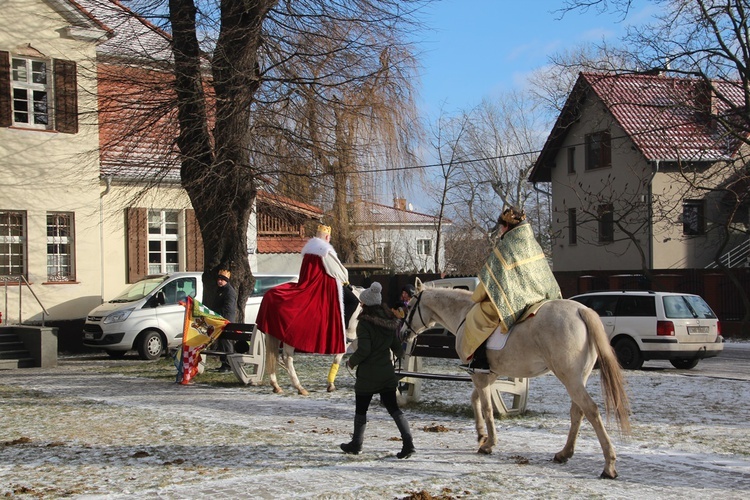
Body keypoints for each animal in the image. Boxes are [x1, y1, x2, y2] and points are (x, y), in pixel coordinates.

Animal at [402, 284, 632, 478]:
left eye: (410, 306)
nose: (403, 333)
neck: (464, 314)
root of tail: (581, 311)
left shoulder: (479, 375)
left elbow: (486, 408)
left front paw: (488, 444)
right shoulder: (488, 375)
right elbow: (475, 400)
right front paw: (481, 434)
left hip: (570, 378)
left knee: (591, 410)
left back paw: (609, 466)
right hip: (577, 379)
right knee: (578, 412)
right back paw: (564, 453)